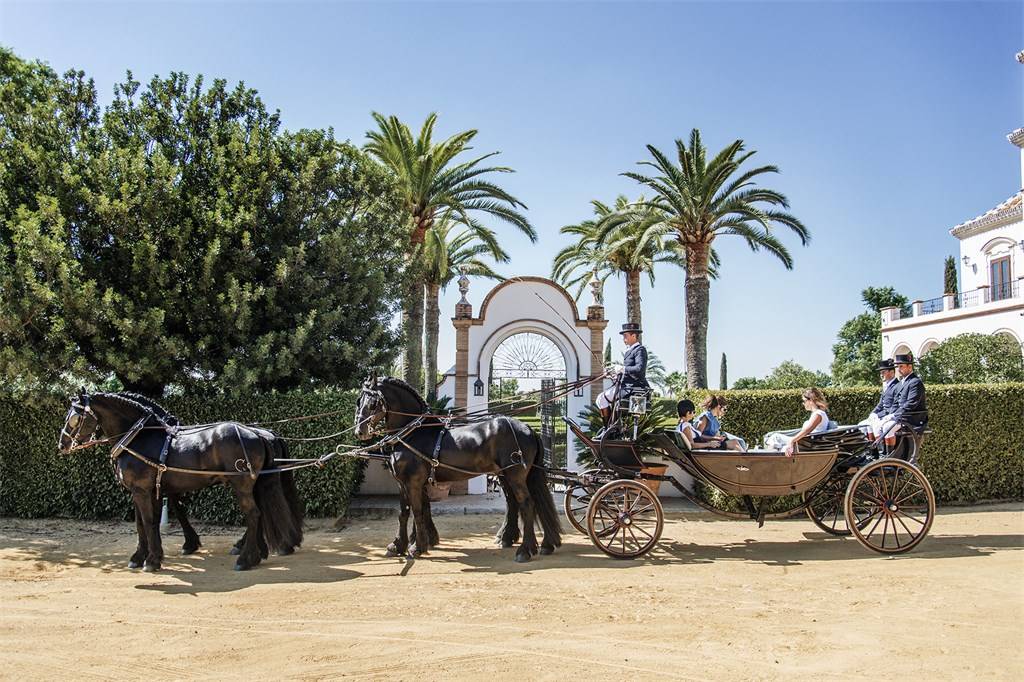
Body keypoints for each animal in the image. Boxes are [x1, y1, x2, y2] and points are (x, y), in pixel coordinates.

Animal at [58, 391, 303, 569]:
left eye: (74, 418)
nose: (62, 444)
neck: (138, 437)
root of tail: (258, 434)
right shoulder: (147, 490)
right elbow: (143, 523)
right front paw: (143, 556)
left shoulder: (142, 490)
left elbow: (150, 520)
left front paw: (153, 560)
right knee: (259, 513)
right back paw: (258, 552)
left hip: (241, 485)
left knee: (253, 514)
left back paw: (246, 559)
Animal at [354, 374, 561, 561]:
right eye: (358, 401)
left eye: (373, 403)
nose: (359, 431)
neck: (413, 433)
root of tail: (527, 428)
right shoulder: (404, 482)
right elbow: (405, 512)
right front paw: (400, 545)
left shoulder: (413, 482)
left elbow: (417, 511)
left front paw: (417, 547)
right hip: (506, 475)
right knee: (515, 503)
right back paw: (529, 542)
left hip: (515, 475)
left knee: (526, 503)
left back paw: (524, 550)